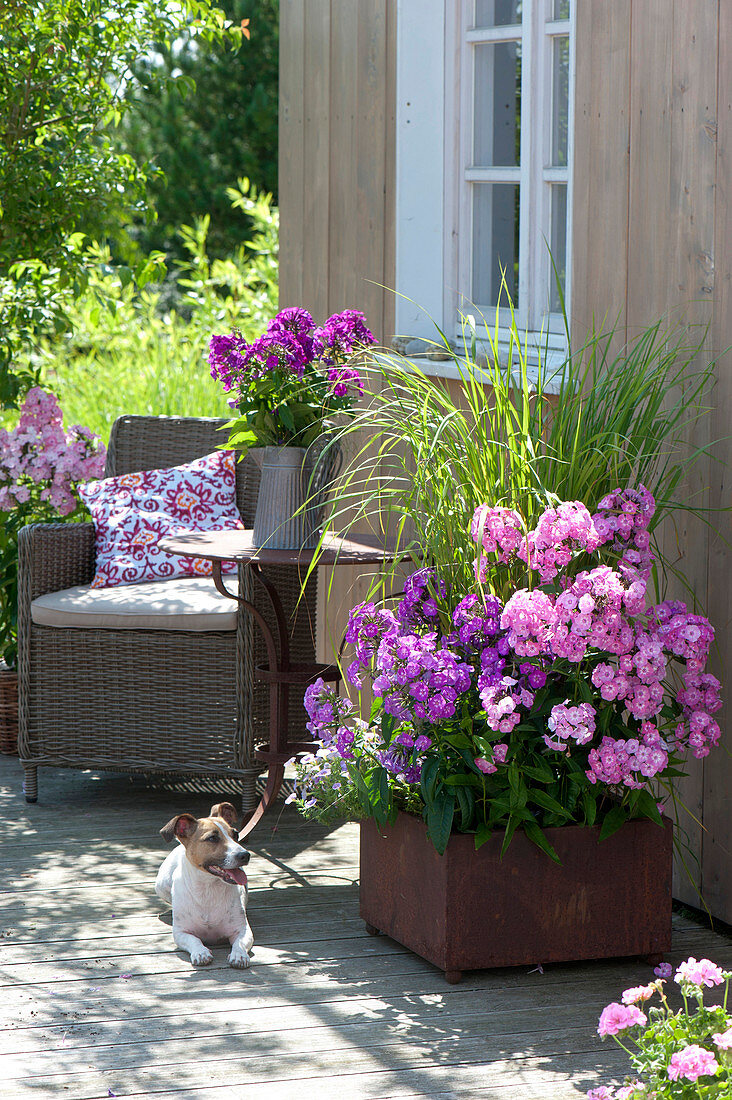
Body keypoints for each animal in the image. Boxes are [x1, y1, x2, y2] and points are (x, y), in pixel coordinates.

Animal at [154, 800, 254, 972]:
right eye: (212, 838)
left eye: (235, 834)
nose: (245, 855)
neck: (208, 888)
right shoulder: (181, 933)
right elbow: (194, 940)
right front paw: (201, 952)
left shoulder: (243, 929)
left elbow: (239, 942)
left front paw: (239, 955)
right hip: (161, 885)